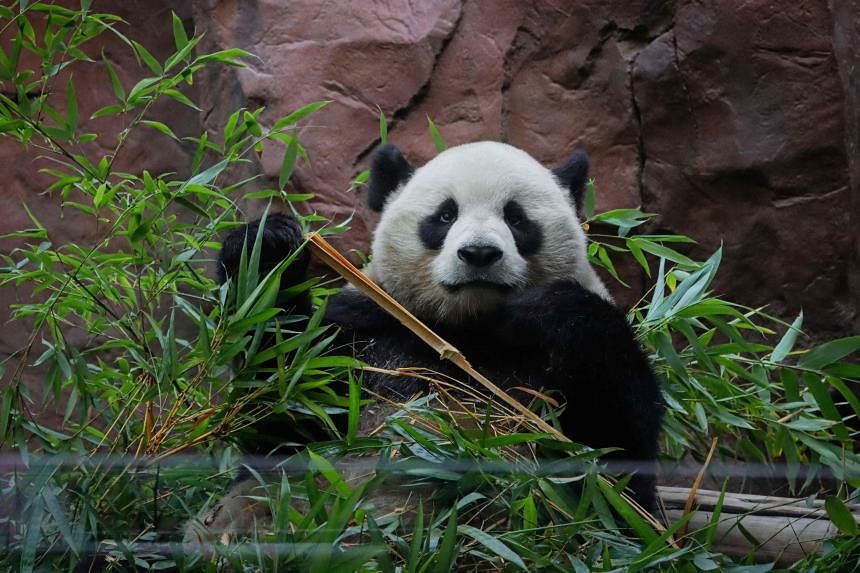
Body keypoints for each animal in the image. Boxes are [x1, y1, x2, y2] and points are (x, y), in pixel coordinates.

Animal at [185, 141, 660, 544]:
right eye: (445, 215)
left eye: (516, 217)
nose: (479, 254)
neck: (464, 328)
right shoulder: (364, 330)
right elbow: (283, 420)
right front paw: (267, 247)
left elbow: (618, 476)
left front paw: (553, 307)